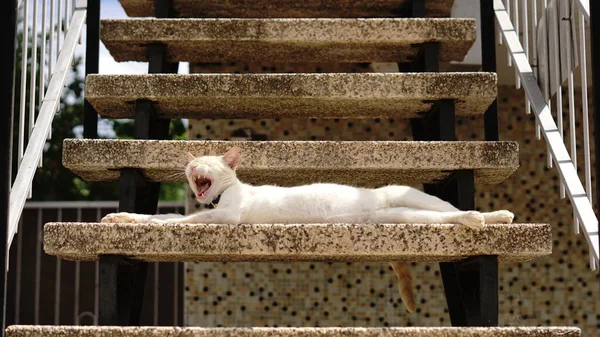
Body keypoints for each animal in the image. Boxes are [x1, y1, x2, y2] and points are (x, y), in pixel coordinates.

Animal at [101, 147, 512, 312]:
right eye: (192, 164)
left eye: (207, 162)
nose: (190, 166)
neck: (219, 198)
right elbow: (158, 219)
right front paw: (122, 219)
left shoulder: (226, 216)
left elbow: (183, 221)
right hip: (402, 215)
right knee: (441, 216)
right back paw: (491, 218)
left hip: (407, 195)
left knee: (451, 209)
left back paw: (488, 216)